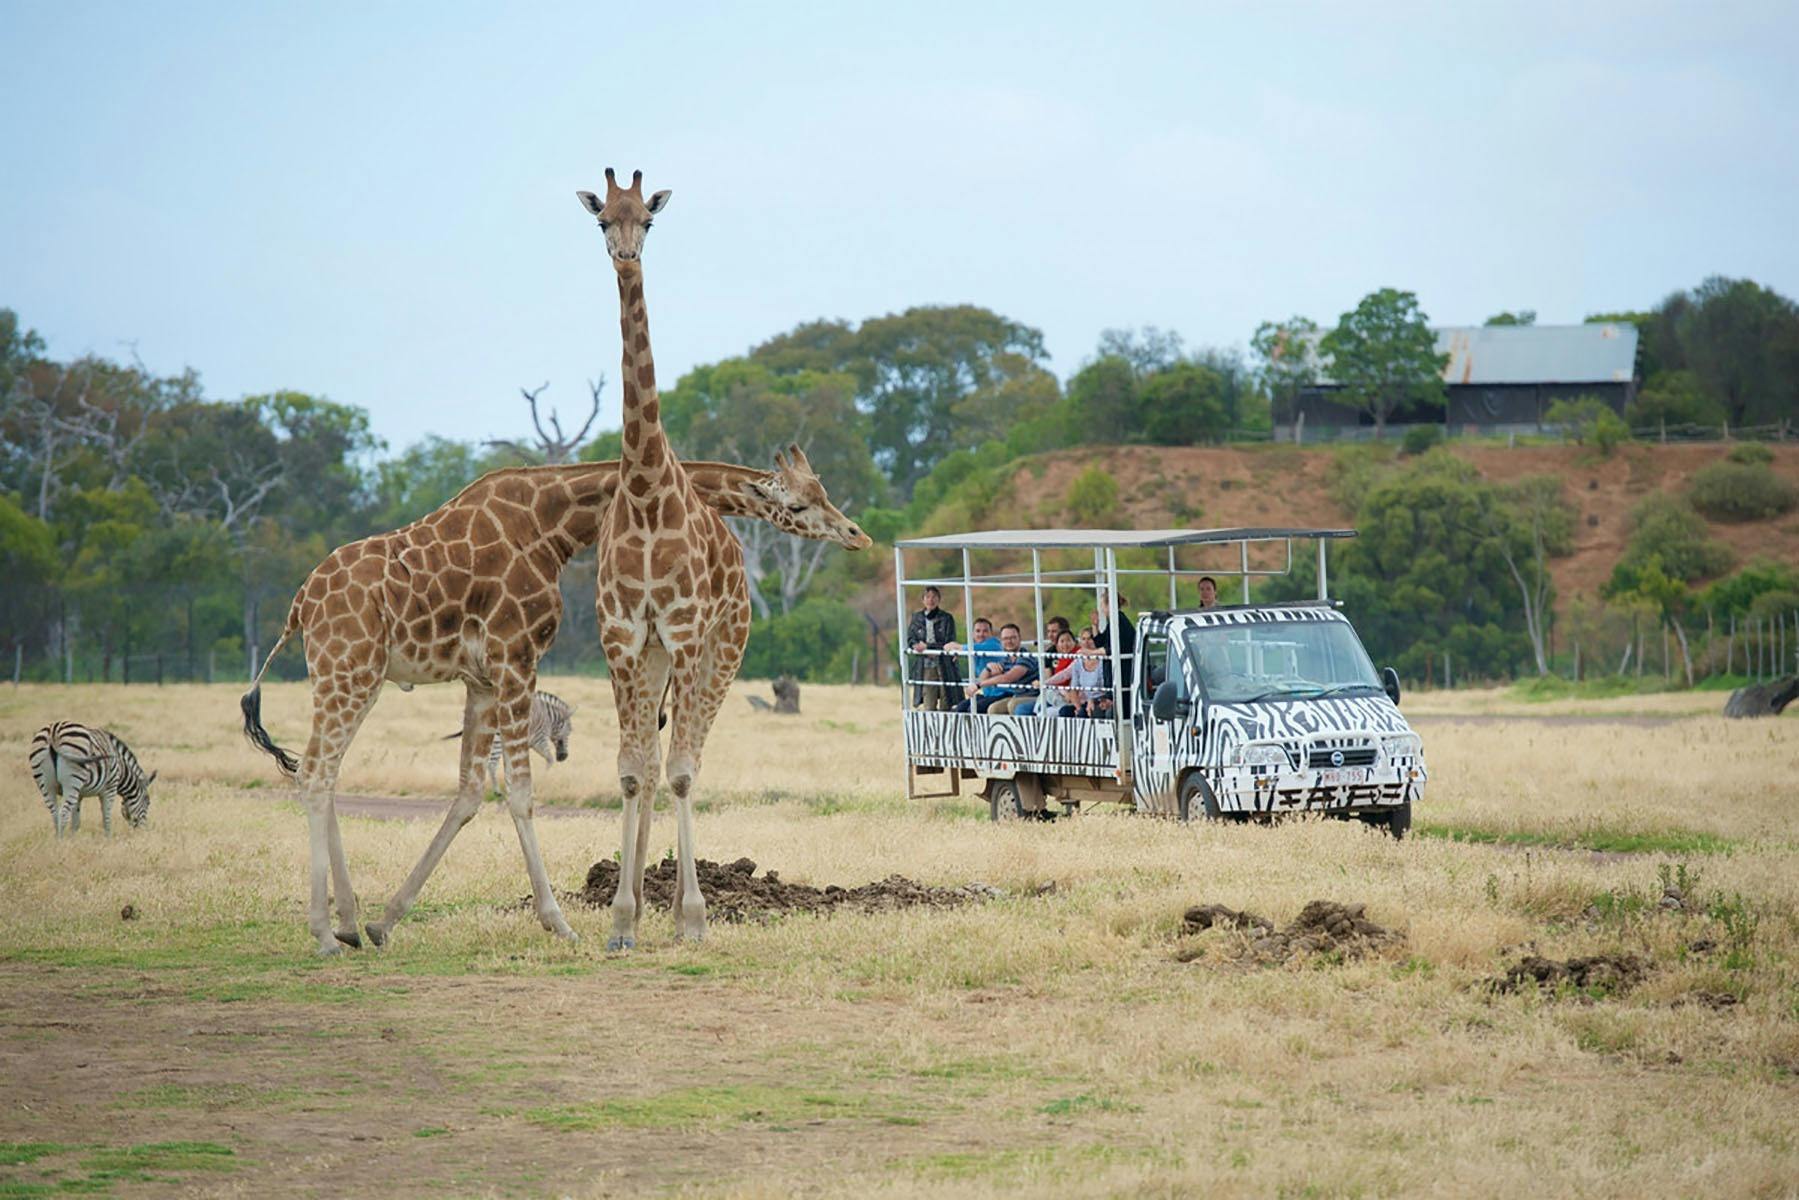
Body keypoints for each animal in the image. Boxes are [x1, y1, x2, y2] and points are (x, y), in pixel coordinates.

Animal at [239, 455, 866, 955]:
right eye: (803, 501)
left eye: (822, 490)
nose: (856, 534)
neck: (552, 525)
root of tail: (298, 605)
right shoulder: (516, 657)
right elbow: (519, 792)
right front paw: (559, 923)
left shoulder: (482, 678)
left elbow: (469, 792)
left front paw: (385, 921)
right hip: (348, 668)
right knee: (316, 773)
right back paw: (324, 934)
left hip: (351, 675)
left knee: (324, 772)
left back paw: (346, 923)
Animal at [576, 169, 872, 951]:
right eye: (603, 220)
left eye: (648, 219)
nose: (625, 256)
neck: (648, 492)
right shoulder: (624, 638)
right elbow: (631, 771)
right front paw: (621, 921)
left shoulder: (684, 634)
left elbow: (679, 772)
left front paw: (692, 918)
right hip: (658, 657)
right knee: (652, 765)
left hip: (723, 648)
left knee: (689, 761)